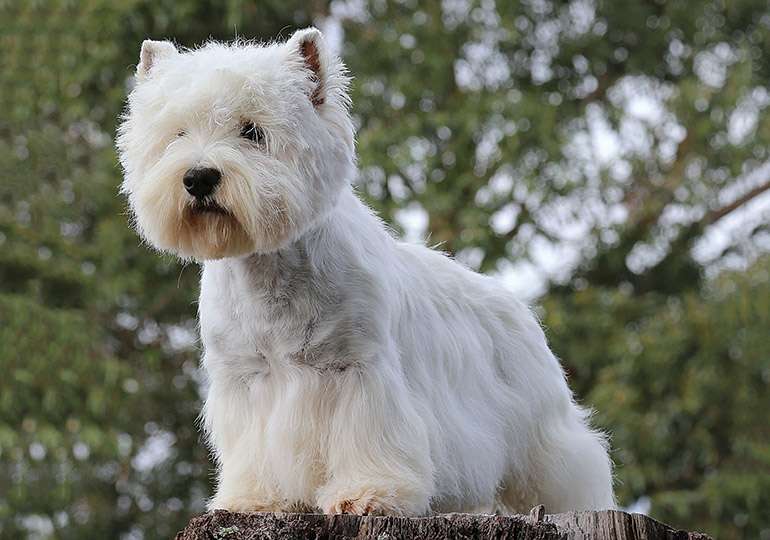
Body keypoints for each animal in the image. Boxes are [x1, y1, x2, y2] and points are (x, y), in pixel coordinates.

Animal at [117, 26, 616, 516]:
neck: (269, 273)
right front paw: (252, 499)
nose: (198, 178)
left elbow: (366, 436)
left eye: (253, 132)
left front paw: (367, 494)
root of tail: (517, 304)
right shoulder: (244, 380)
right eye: (177, 134)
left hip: (541, 432)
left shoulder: (359, 368)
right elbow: (254, 451)